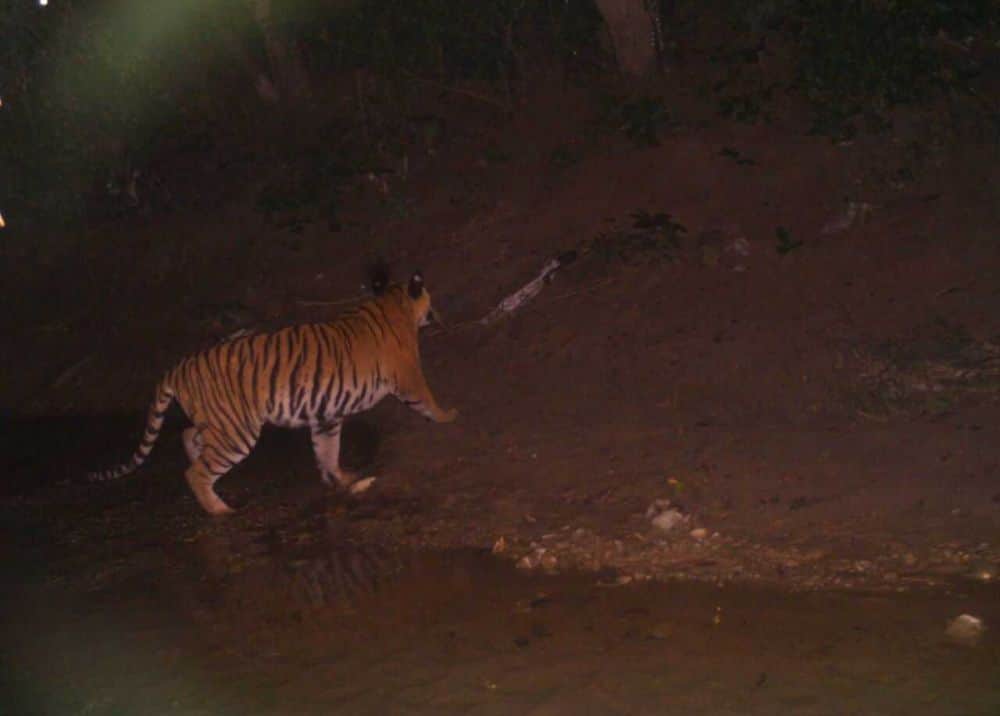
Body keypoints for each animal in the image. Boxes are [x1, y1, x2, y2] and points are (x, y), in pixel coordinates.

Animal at [89, 271, 457, 516]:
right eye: (432, 300)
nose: (439, 316)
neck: (393, 303)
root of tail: (179, 366)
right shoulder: (408, 376)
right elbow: (428, 399)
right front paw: (449, 416)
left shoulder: (325, 415)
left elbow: (327, 450)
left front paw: (341, 477)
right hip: (236, 431)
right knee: (195, 473)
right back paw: (220, 511)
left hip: (218, 424)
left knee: (188, 435)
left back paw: (200, 465)